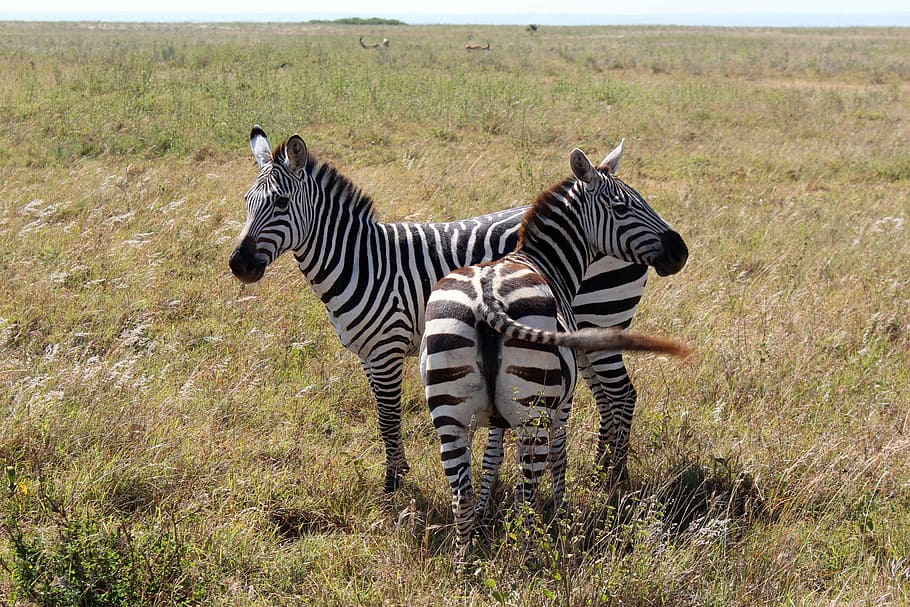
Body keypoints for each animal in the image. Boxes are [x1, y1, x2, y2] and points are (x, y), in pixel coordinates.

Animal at [230, 127, 692, 494]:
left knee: (621, 394)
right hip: (584, 331)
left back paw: (612, 478)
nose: (239, 264)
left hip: (602, 313)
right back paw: (601, 471)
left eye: (281, 203)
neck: (362, 259)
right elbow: (385, 417)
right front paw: (399, 475)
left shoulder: (386, 349)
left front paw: (393, 486)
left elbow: (388, 418)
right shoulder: (367, 353)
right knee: (607, 397)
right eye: (249, 201)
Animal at [420, 145, 692, 564]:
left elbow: (491, 457)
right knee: (526, 492)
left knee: (460, 496)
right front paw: (562, 509)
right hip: (533, 410)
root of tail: (485, 298)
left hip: (447, 410)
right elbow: (559, 454)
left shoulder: (498, 416)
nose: (680, 252)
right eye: (622, 207)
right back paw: (530, 555)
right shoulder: (562, 403)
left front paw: (484, 516)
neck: (544, 263)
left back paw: (464, 562)